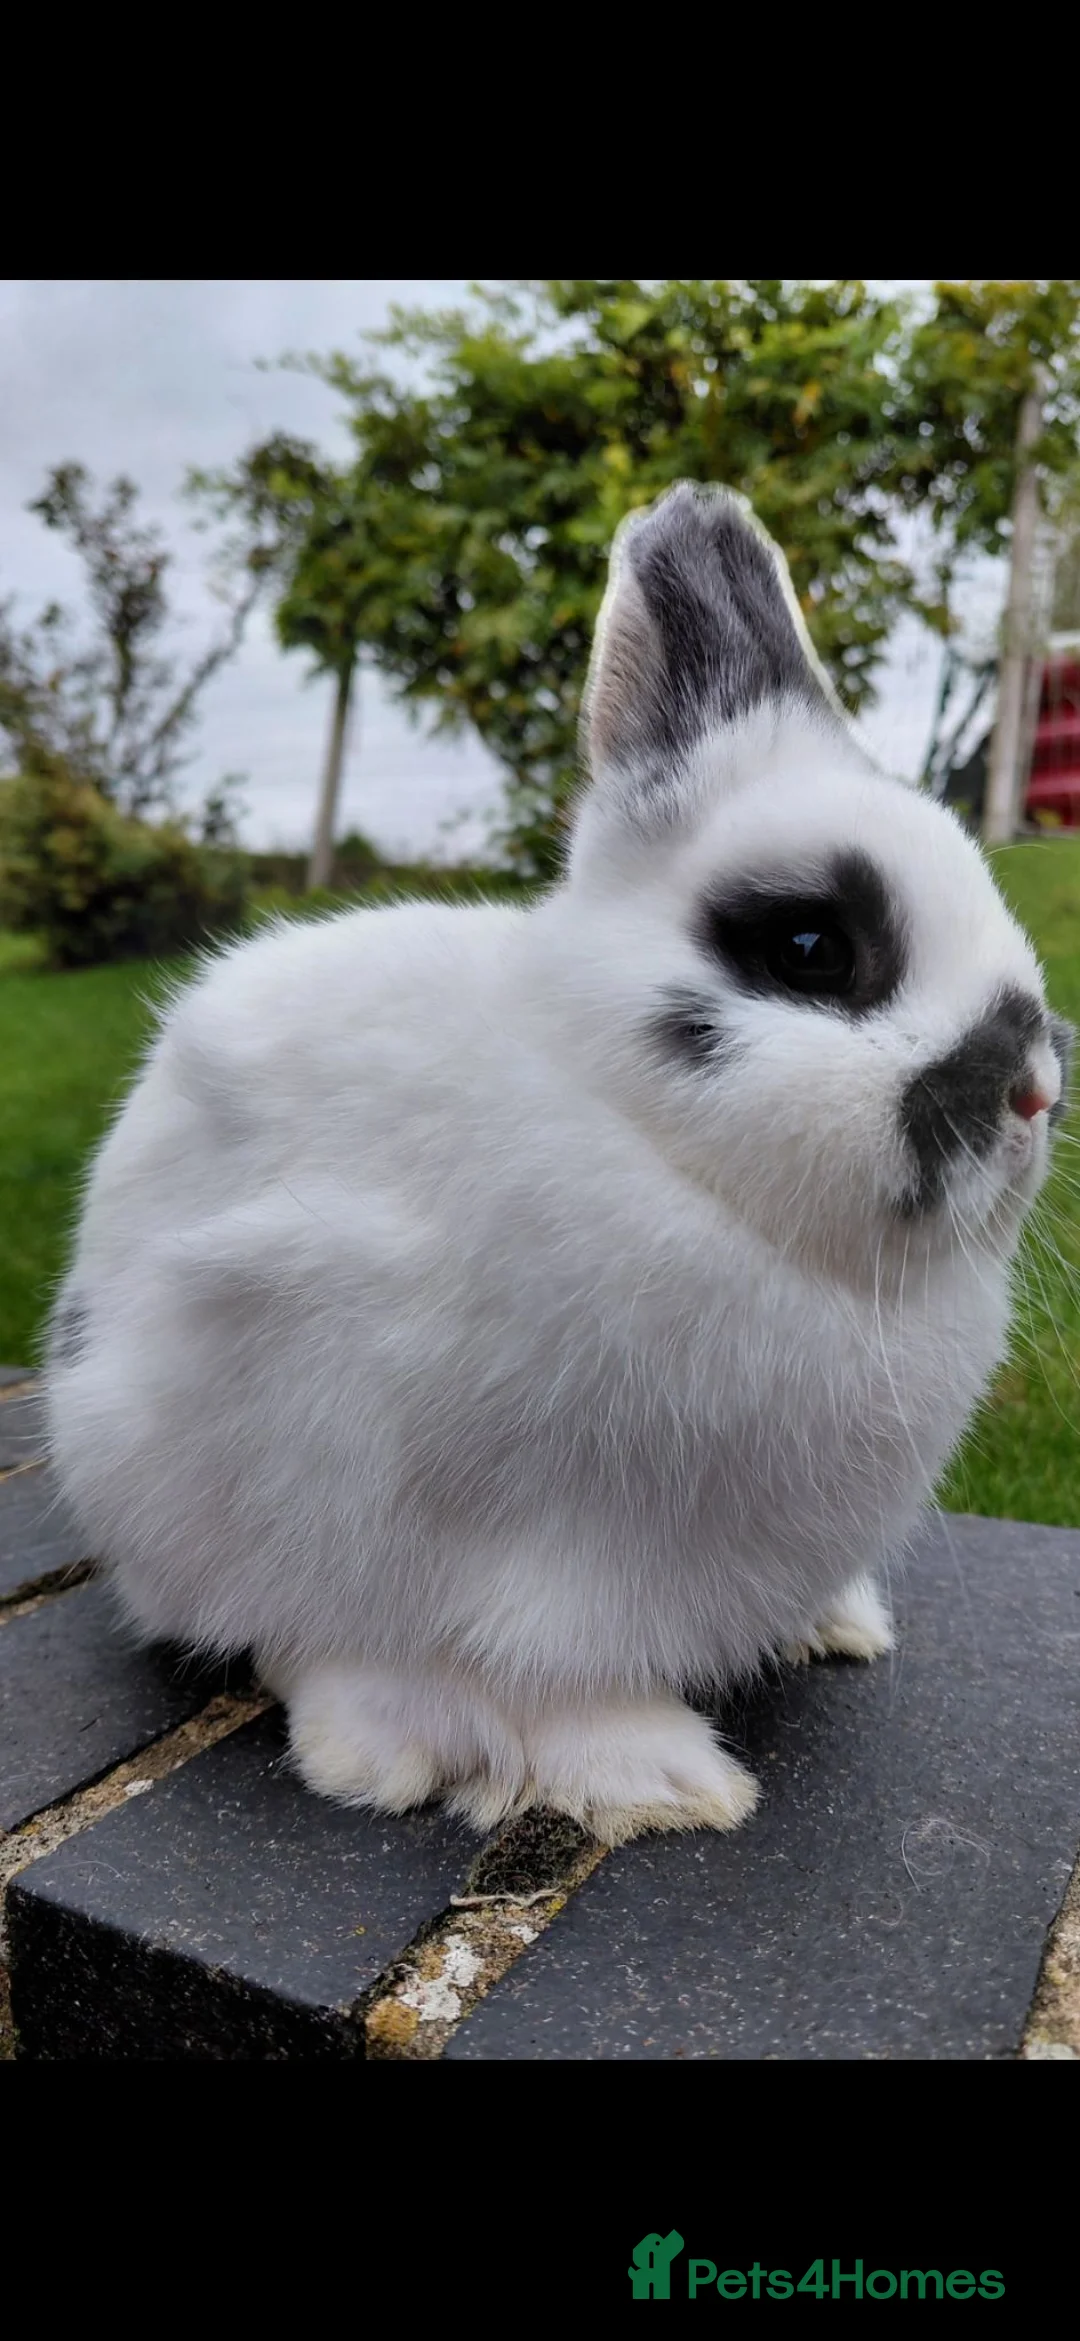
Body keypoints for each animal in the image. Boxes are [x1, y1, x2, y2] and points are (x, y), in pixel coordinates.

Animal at [44, 482, 1071, 1847]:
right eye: (810, 947)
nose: (1034, 1089)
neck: (667, 1160)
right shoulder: (488, 1530)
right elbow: (532, 1674)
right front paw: (660, 1781)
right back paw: (389, 1745)